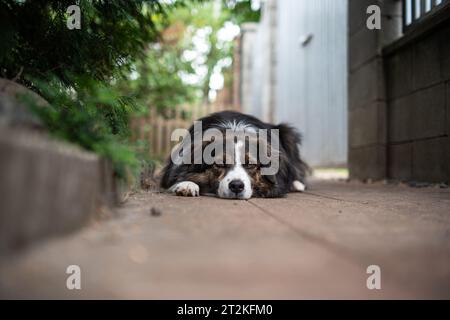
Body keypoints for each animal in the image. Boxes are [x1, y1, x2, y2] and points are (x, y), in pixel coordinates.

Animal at [160, 111, 312, 199]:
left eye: (250, 164)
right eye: (220, 164)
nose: (237, 186)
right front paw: (187, 184)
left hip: (287, 133)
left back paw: (296, 184)